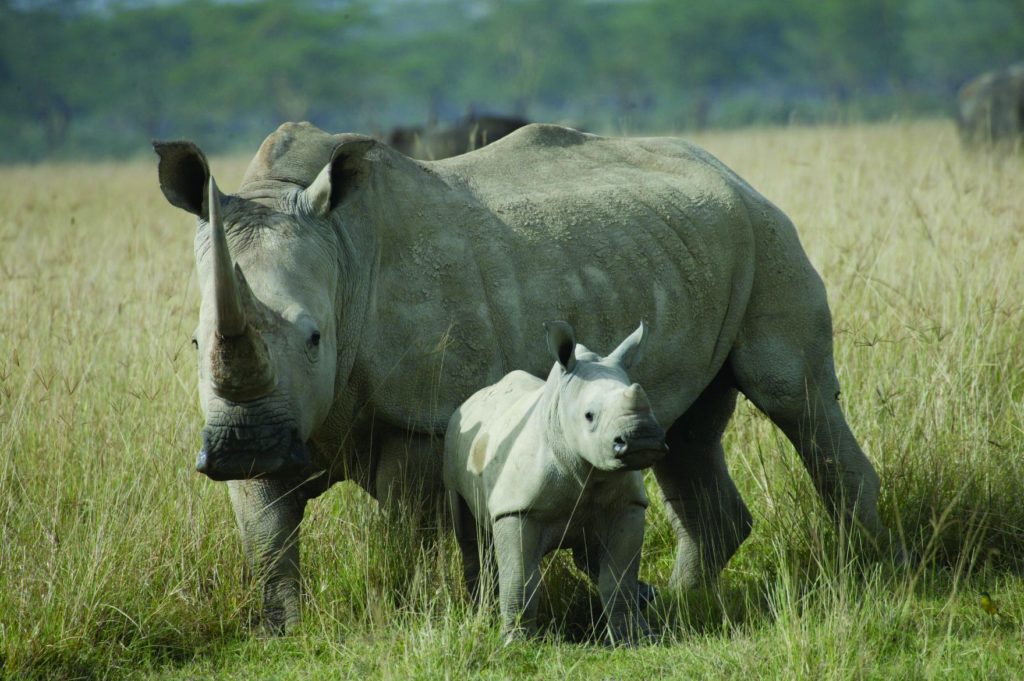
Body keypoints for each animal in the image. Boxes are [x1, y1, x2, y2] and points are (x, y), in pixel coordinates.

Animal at [444, 321, 666, 644]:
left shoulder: (627, 504)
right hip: (454, 444)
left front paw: (636, 639)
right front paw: (515, 642)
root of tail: (472, 399)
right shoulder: (516, 508)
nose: (643, 439)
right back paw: (480, 611)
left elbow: (618, 578)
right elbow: (521, 578)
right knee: (471, 539)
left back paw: (645, 596)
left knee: (590, 556)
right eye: (589, 416)